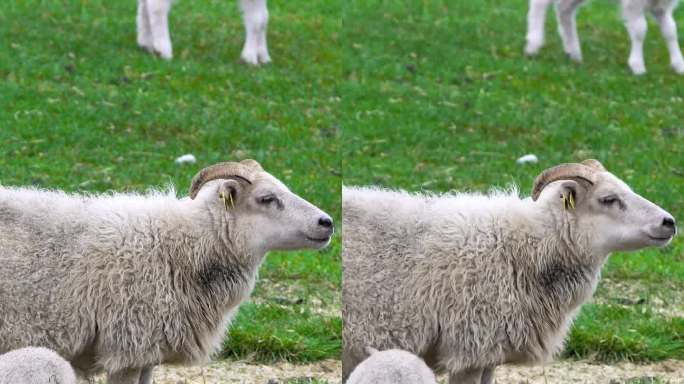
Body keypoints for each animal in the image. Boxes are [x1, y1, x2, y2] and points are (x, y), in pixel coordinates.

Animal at [136, 0, 270, 65]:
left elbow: (263, 18)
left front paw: (263, 55)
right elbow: (257, 20)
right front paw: (250, 57)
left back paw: (145, 43)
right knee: (156, 5)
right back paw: (163, 49)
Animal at [524, 0, 684, 74]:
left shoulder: (661, 6)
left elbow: (670, 31)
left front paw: (679, 65)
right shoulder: (634, 4)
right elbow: (640, 30)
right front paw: (637, 66)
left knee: (564, 9)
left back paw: (574, 53)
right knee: (540, 4)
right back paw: (533, 45)